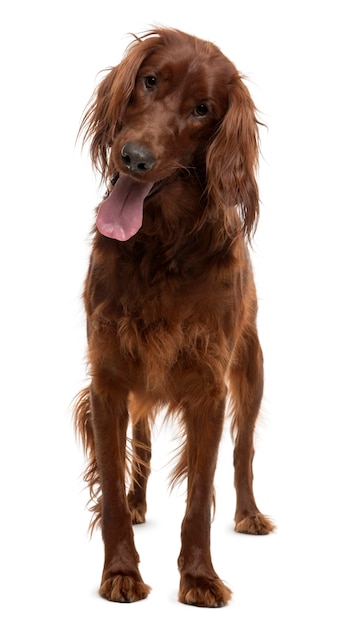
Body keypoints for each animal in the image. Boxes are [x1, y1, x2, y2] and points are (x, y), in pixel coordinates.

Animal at [75, 28, 274, 604]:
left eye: (203, 109)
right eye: (149, 81)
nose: (134, 157)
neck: (162, 246)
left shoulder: (210, 389)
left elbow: (201, 495)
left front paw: (200, 577)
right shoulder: (109, 380)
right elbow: (112, 487)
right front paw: (121, 572)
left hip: (251, 371)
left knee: (244, 451)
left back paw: (250, 515)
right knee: (139, 446)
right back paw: (139, 502)